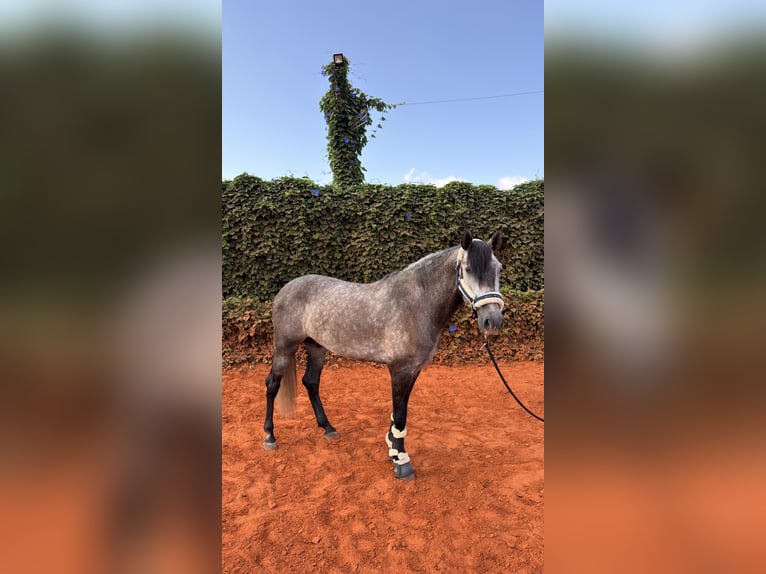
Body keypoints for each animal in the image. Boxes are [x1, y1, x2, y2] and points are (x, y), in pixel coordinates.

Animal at [263, 229, 506, 481]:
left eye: (499, 268)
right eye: (467, 268)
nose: (493, 322)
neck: (416, 304)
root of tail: (286, 289)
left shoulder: (413, 370)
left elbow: (400, 409)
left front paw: (392, 448)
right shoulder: (400, 369)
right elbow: (400, 414)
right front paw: (402, 462)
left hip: (316, 348)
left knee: (310, 382)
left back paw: (328, 428)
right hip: (284, 348)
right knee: (272, 384)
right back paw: (270, 437)